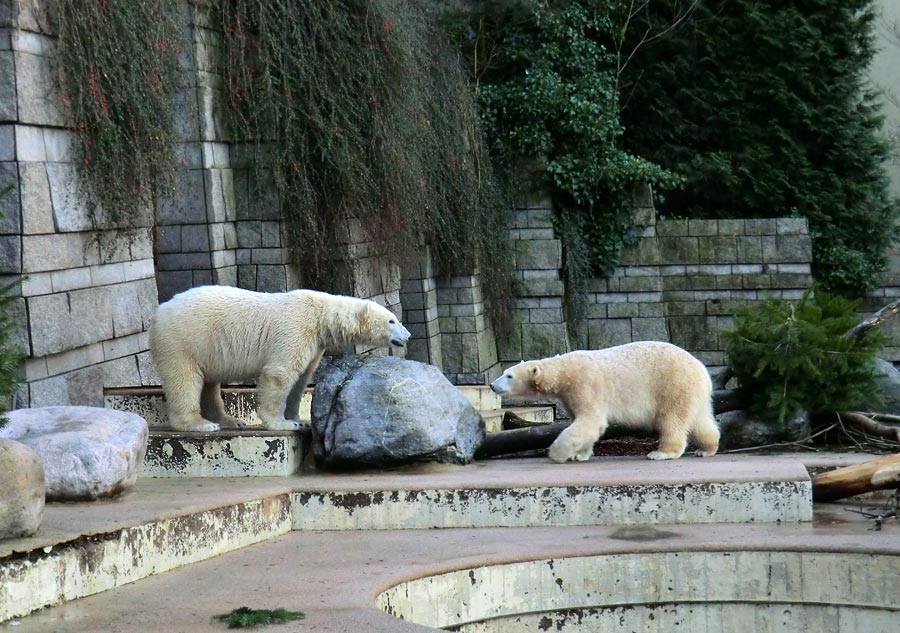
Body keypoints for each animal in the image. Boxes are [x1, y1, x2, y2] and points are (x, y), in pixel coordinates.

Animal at [150, 286, 412, 430]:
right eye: (392, 320)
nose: (408, 335)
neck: (320, 314)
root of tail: (159, 311)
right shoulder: (297, 328)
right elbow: (280, 374)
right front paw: (283, 423)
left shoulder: (315, 343)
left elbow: (301, 380)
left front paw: (299, 419)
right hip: (183, 340)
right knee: (184, 379)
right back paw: (200, 424)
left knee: (209, 383)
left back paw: (229, 420)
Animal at [488, 340, 720, 460]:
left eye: (508, 375)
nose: (491, 385)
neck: (564, 371)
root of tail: (703, 371)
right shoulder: (568, 396)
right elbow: (582, 422)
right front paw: (580, 454)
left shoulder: (585, 384)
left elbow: (591, 420)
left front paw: (557, 453)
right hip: (692, 393)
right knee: (700, 421)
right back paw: (706, 448)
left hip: (673, 386)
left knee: (671, 420)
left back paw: (661, 453)